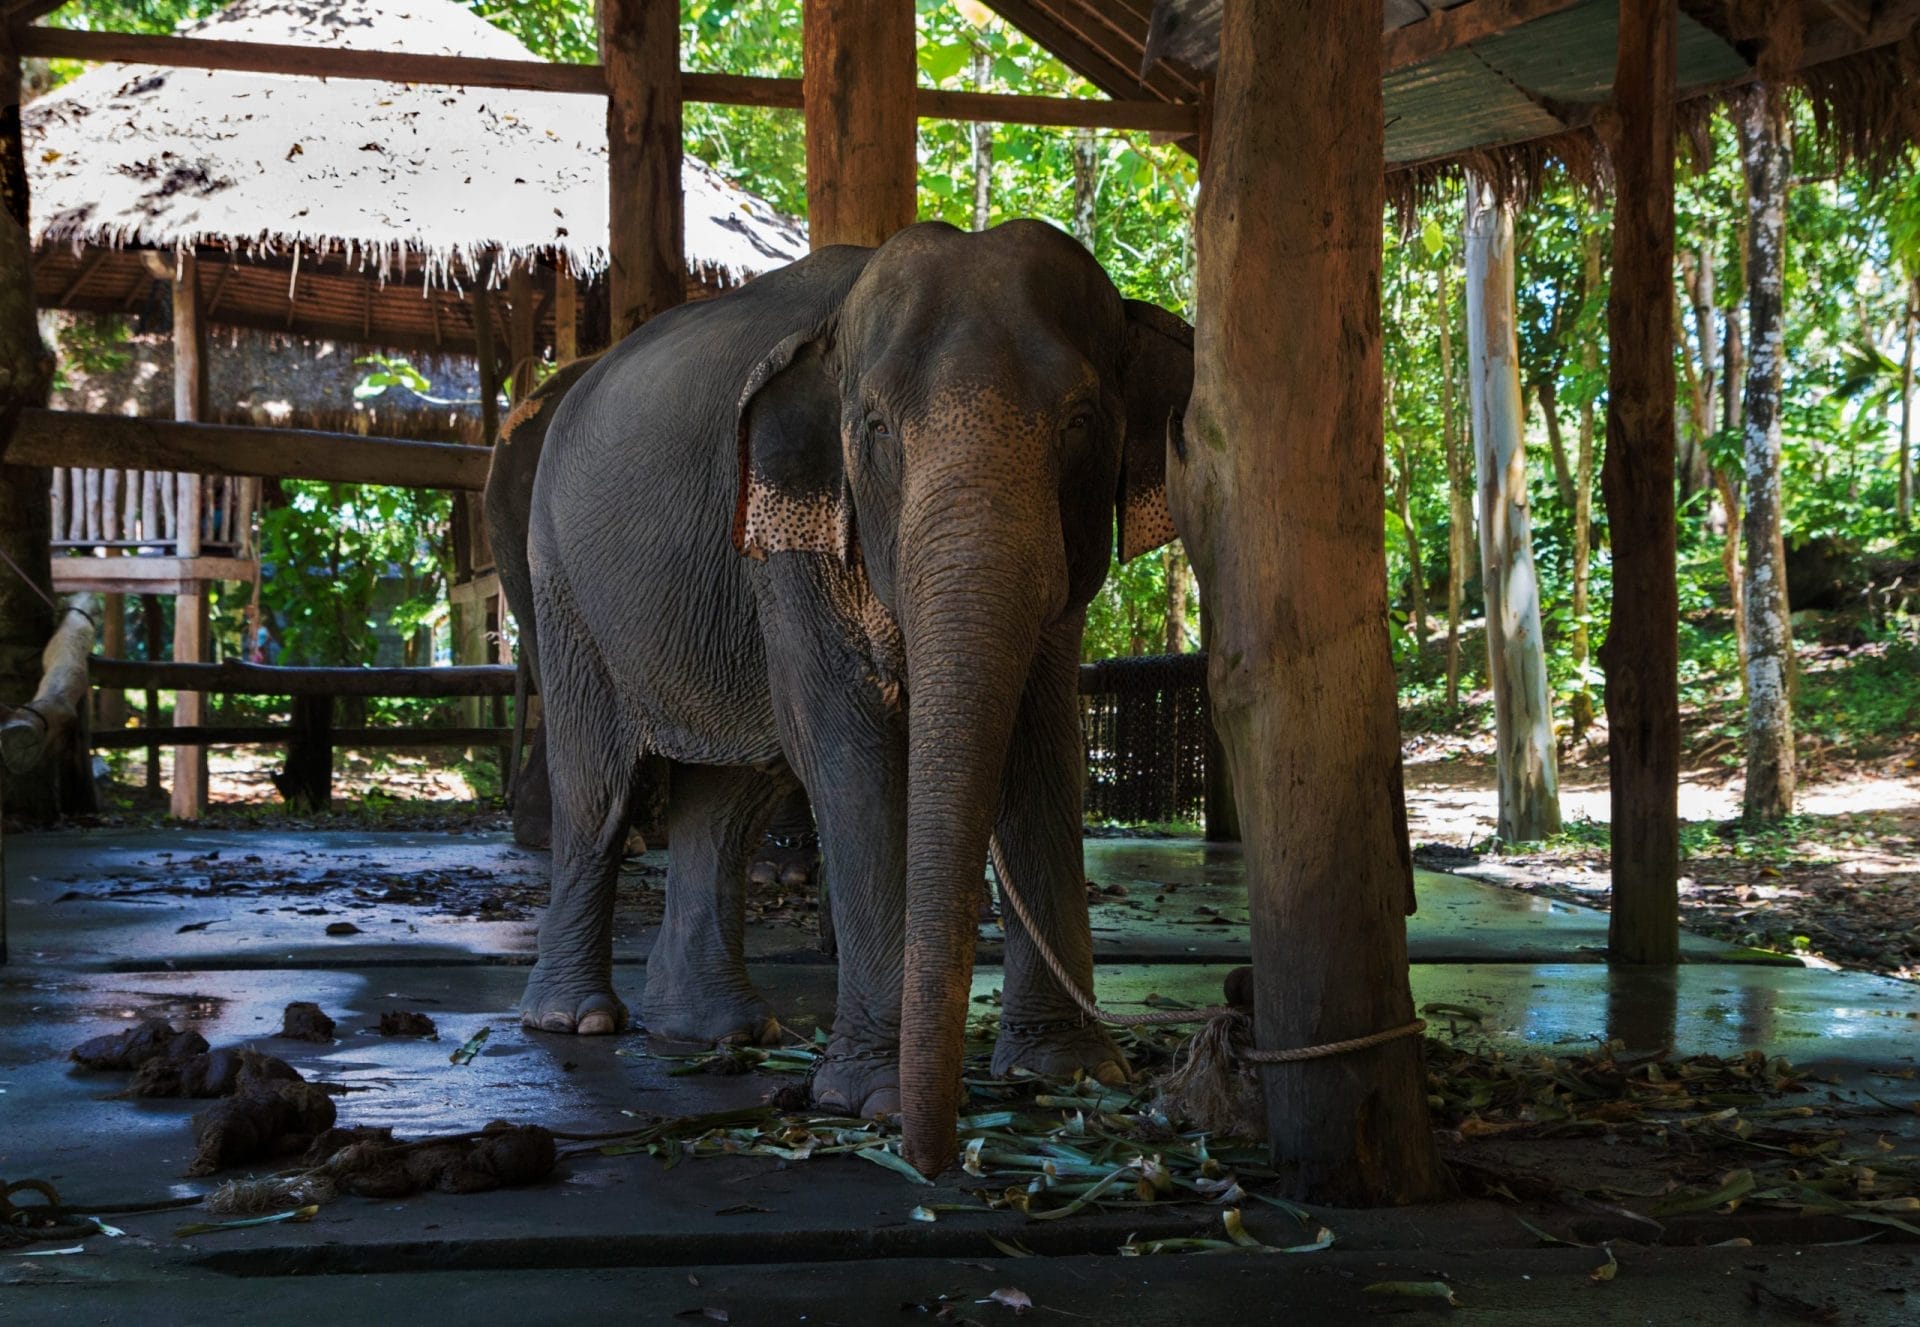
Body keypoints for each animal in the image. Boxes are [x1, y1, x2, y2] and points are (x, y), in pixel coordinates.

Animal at [507, 220, 1192, 1175]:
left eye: (1083, 421)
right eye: (874, 428)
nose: (935, 1158)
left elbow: (1045, 744)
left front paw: (1072, 1075)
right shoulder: (793, 535)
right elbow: (848, 745)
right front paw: (874, 1101)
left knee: (730, 792)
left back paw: (716, 1030)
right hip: (561, 582)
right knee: (600, 789)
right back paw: (578, 1019)